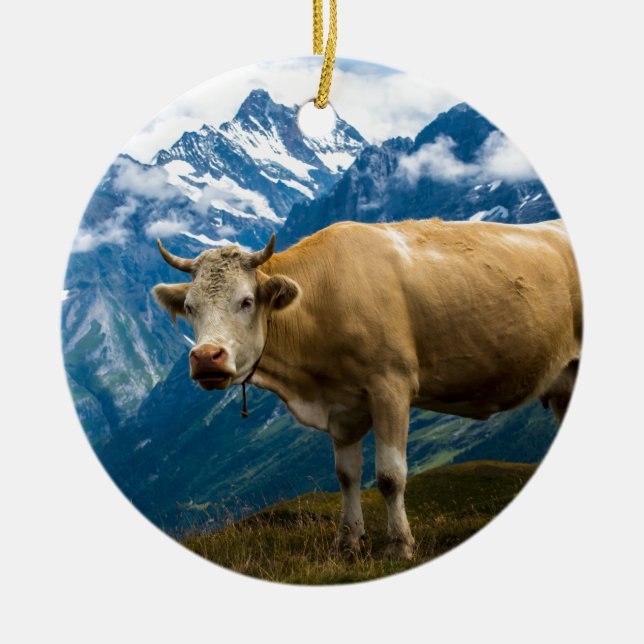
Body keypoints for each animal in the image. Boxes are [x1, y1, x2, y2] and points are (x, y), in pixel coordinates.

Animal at [152, 218, 582, 560]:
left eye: (245, 301)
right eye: (189, 307)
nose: (206, 358)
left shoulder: (390, 386)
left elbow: (390, 476)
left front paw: (399, 545)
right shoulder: (342, 407)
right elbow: (347, 475)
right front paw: (348, 542)